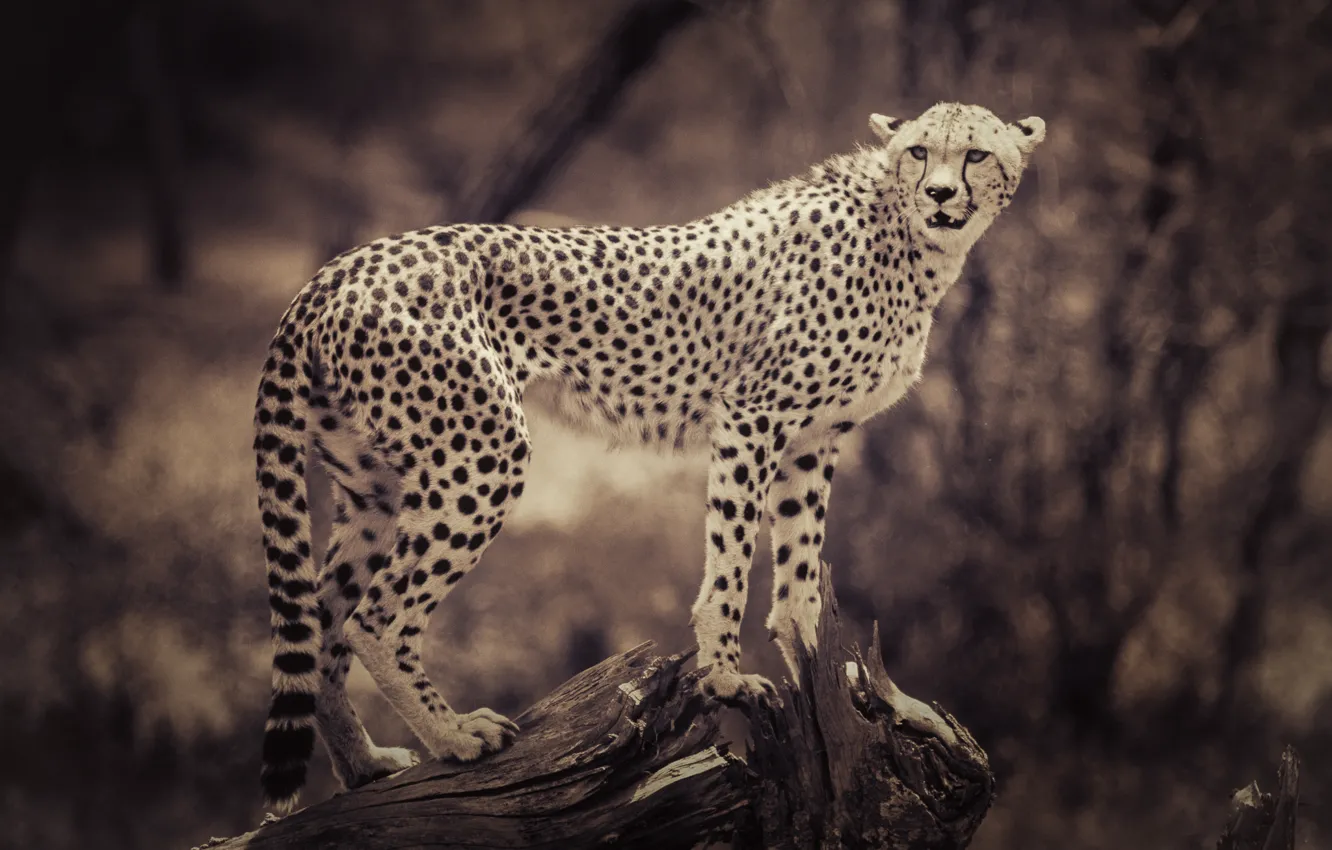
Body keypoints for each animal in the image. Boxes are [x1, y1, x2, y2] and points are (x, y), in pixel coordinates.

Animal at [253, 101, 1045, 812]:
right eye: (919, 152)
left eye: (976, 155)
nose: (939, 193)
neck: (907, 238)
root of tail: (335, 270)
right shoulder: (752, 415)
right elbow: (730, 562)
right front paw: (725, 679)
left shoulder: (814, 438)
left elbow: (798, 569)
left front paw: (822, 666)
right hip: (480, 456)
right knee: (375, 618)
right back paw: (453, 738)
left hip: (378, 487)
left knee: (322, 616)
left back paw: (364, 764)